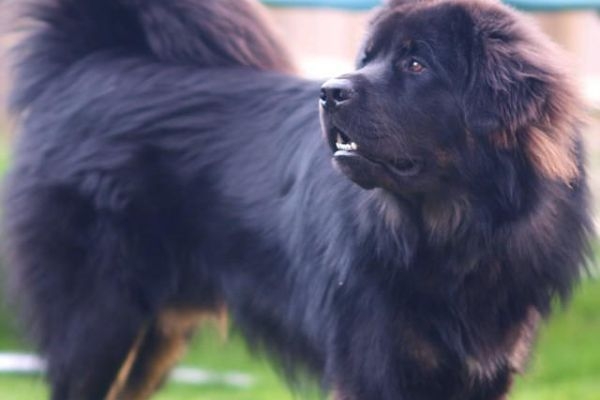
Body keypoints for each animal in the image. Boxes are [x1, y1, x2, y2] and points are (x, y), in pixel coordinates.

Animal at [0, 0, 592, 400]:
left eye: (416, 64)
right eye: (367, 57)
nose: (329, 91)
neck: (453, 234)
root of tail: (88, 65)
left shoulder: (483, 372)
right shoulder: (373, 366)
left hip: (153, 338)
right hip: (98, 324)